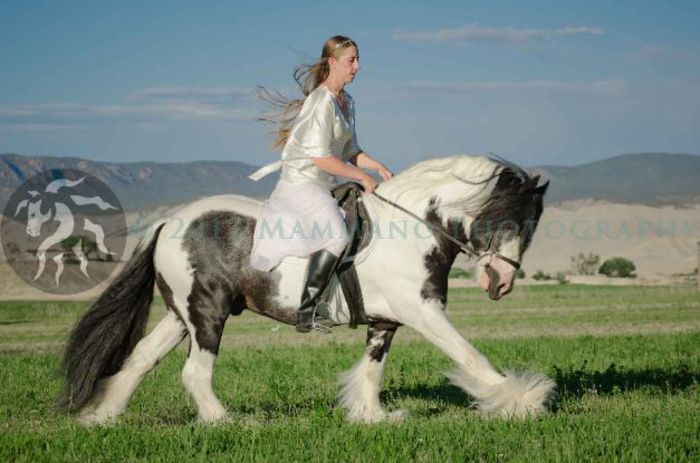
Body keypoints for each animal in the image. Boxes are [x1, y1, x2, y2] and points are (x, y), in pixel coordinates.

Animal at [58, 155, 552, 424]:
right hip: (208, 313)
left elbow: (372, 371)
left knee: (141, 359)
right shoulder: (422, 310)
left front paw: (371, 416)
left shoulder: (387, 320)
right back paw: (229, 422)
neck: (411, 228)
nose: (502, 283)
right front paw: (522, 400)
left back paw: (101, 416)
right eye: (509, 220)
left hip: (181, 314)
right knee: (195, 372)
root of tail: (168, 221)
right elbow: (470, 355)